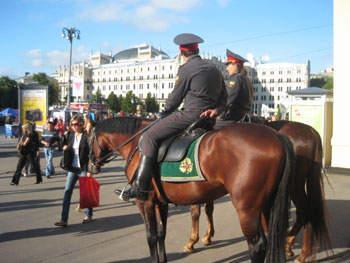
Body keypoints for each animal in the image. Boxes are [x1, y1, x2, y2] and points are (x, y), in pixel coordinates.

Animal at [88, 118, 296, 263]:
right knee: (271, 238)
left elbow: (151, 236)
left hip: (247, 208)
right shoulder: (161, 203)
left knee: (257, 245)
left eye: (88, 139)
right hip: (267, 203)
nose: (91, 167)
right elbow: (162, 233)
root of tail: (276, 136)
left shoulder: (145, 202)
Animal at [185, 120, 332, 263]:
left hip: (294, 186)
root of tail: (310, 131)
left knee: (304, 212)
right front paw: (207, 235)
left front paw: (193, 241)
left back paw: (301, 253)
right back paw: (291, 246)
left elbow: (196, 211)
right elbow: (208, 208)